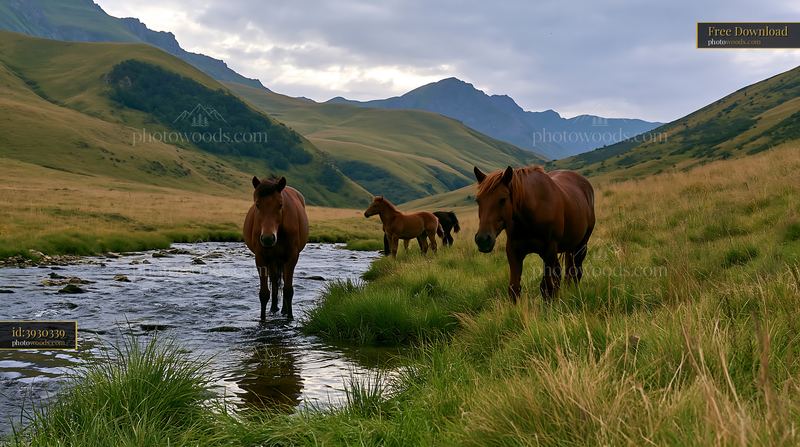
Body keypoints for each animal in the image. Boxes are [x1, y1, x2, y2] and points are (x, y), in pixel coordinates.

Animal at [243, 176, 309, 320]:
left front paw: (290, 317)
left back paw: (284, 310)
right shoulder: (260, 258)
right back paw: (273, 308)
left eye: (280, 205)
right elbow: (264, 293)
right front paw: (262, 319)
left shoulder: (291, 257)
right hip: (273, 260)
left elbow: (288, 290)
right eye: (257, 204)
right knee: (274, 281)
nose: (268, 238)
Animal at [473, 165, 594, 302]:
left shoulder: (549, 251)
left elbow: (547, 287)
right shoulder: (513, 251)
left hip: (581, 246)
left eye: (502, 199)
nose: (482, 239)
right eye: (478, 200)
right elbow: (514, 288)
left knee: (575, 271)